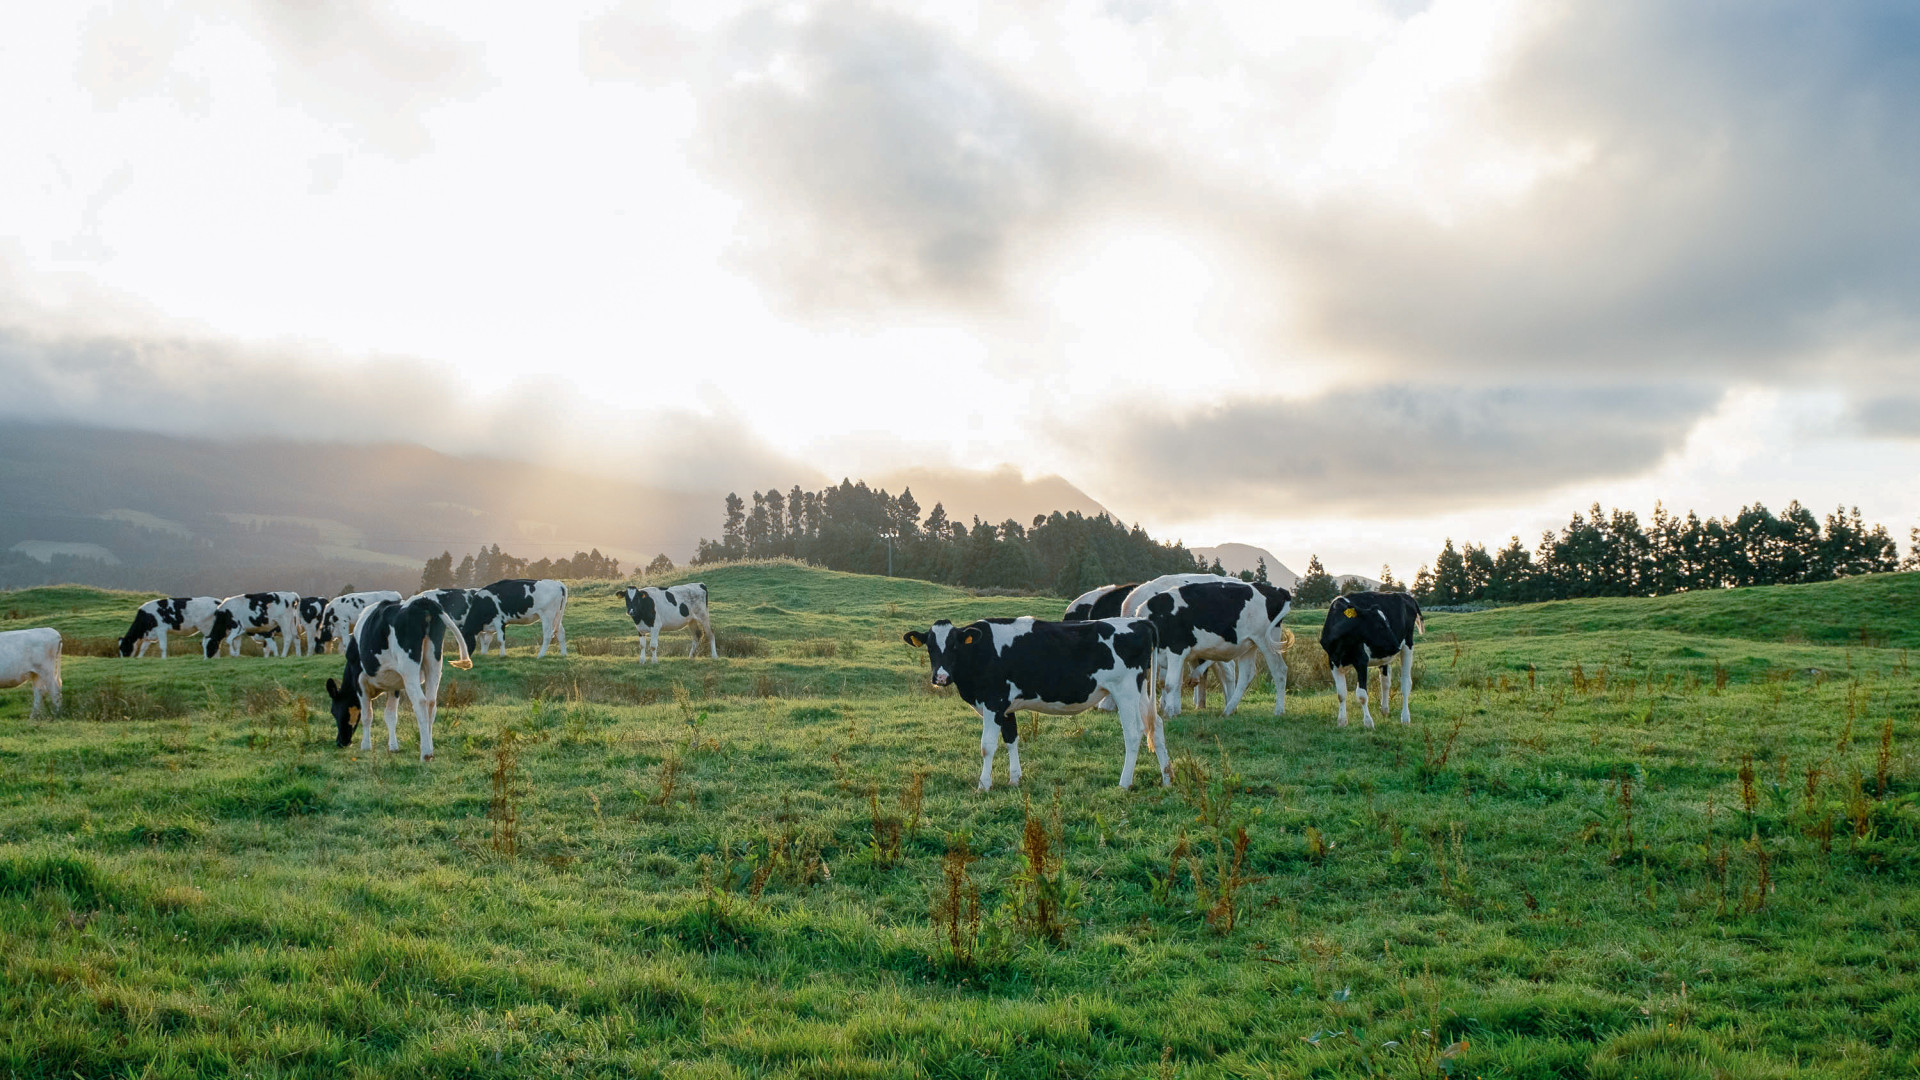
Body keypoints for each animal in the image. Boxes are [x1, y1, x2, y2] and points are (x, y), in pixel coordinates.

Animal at [322, 588, 472, 757]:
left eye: (333, 711)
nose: (341, 742)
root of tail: (421, 601)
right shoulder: (394, 686)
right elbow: (390, 716)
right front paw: (393, 747)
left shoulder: (360, 681)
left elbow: (367, 715)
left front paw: (366, 746)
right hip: (434, 663)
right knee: (431, 703)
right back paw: (430, 748)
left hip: (409, 668)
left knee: (420, 702)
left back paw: (425, 753)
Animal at [902, 614, 1167, 791]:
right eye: (930, 647)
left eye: (954, 645)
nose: (941, 677)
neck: (980, 652)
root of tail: (1140, 621)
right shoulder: (1006, 706)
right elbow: (1011, 739)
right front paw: (1014, 779)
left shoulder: (993, 702)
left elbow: (987, 746)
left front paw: (983, 785)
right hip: (1140, 690)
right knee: (1157, 725)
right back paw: (1167, 778)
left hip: (1125, 690)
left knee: (1133, 733)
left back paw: (1124, 783)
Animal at [1136, 576, 1290, 718]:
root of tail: (1276, 589)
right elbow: (1169, 683)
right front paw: (1171, 710)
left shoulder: (1177, 650)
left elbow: (1170, 684)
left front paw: (1168, 713)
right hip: (1249, 644)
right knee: (1247, 674)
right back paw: (1228, 710)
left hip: (1267, 640)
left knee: (1279, 671)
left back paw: (1278, 711)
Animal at [1320, 584, 1428, 726]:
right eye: (1379, 626)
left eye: (1387, 623)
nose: (1395, 645)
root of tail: (1406, 595)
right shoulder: (1333, 661)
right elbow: (1341, 694)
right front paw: (1342, 721)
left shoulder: (1361, 661)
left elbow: (1361, 694)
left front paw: (1368, 722)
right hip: (1385, 656)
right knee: (1385, 682)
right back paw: (1385, 710)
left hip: (1408, 645)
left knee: (1406, 683)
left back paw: (1405, 718)